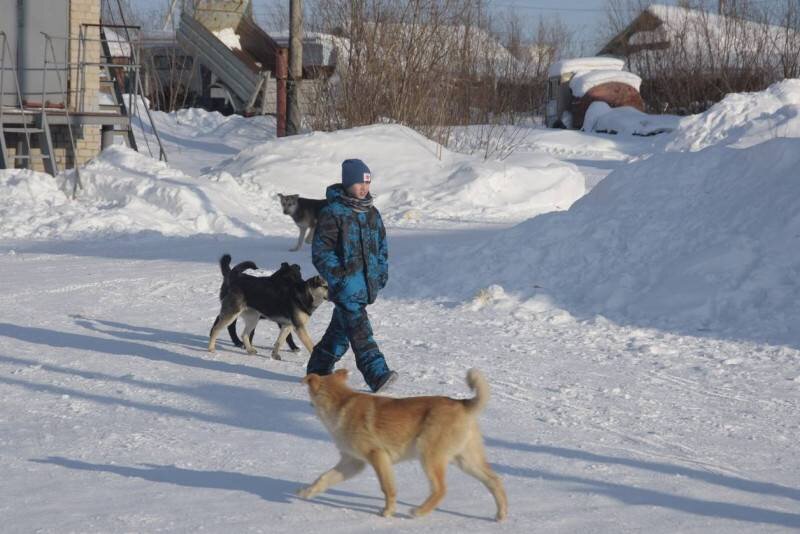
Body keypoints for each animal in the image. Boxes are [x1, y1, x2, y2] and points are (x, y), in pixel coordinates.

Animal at [296, 370, 510, 520]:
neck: (341, 403)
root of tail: (463, 404)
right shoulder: (353, 462)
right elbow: (324, 478)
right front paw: (306, 492)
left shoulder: (377, 456)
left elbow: (387, 488)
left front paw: (387, 512)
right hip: (465, 460)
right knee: (494, 480)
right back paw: (501, 515)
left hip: (429, 457)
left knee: (440, 489)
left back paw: (418, 512)